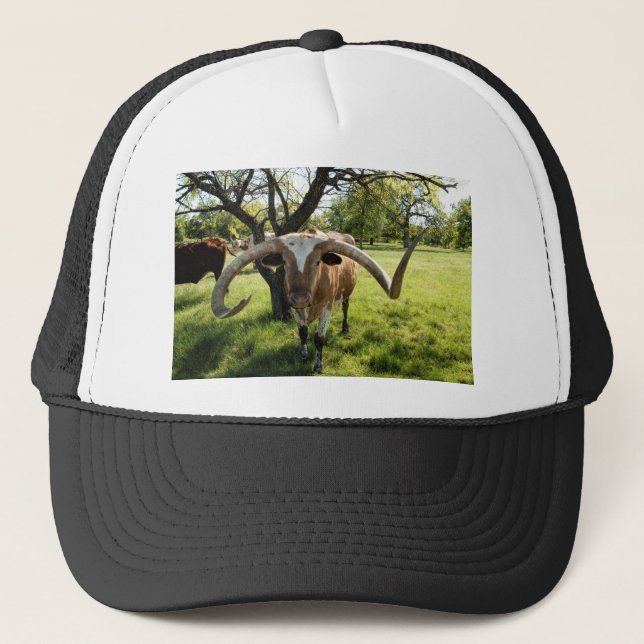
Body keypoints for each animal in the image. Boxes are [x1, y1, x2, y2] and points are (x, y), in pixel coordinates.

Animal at [210, 229, 420, 372]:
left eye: (318, 261)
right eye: (284, 261)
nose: (300, 297)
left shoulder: (326, 307)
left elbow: (319, 338)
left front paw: (318, 365)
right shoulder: (293, 307)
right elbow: (303, 332)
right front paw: (303, 355)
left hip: (346, 294)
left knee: (345, 307)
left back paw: (345, 328)